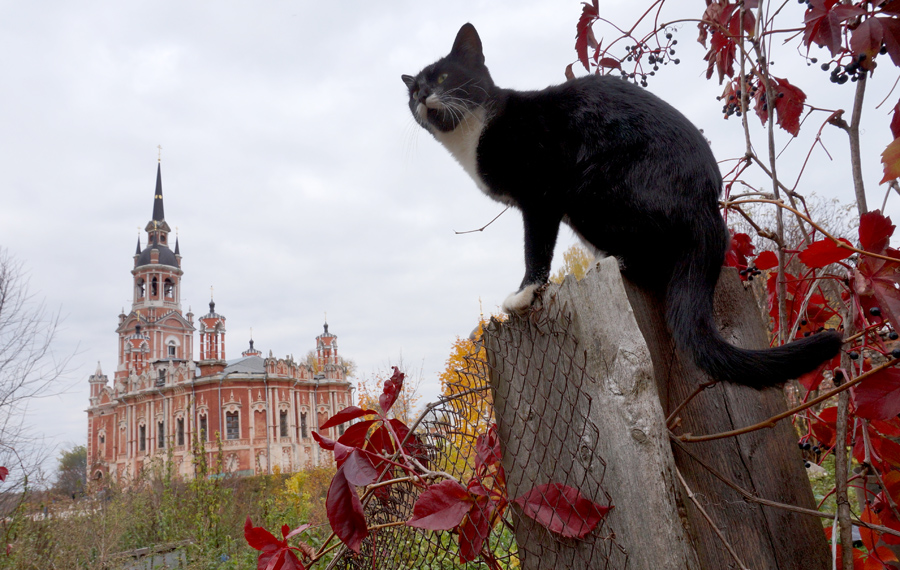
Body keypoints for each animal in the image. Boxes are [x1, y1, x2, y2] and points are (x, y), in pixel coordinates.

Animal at [404, 22, 840, 386]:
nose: (422, 94)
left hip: (590, 186)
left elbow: (536, 248)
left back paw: (612, 262)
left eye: (442, 77)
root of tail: (707, 206)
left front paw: (524, 293)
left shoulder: (542, 193)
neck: (472, 132)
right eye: (412, 91)